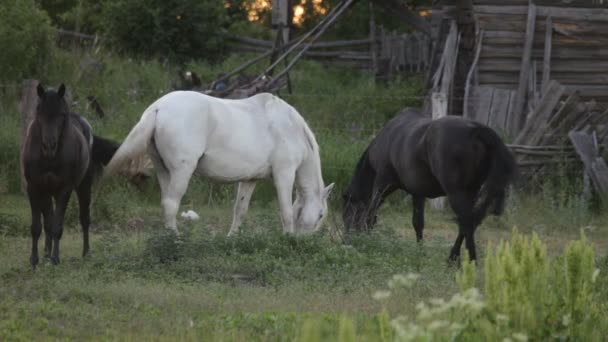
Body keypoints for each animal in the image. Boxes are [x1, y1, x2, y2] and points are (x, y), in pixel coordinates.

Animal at [21, 83, 119, 268]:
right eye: (40, 114)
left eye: (61, 115)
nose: (49, 146)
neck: (49, 158)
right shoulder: (34, 188)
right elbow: (37, 226)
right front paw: (34, 261)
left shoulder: (64, 189)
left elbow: (57, 227)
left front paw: (55, 259)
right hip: (46, 192)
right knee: (48, 220)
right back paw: (46, 253)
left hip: (83, 186)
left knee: (84, 219)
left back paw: (86, 253)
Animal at [102, 91, 334, 235]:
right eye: (321, 214)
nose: (303, 242)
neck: (291, 129)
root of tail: (158, 108)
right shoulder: (284, 174)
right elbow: (286, 212)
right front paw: (287, 238)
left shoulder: (250, 179)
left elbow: (240, 210)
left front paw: (232, 238)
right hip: (181, 171)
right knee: (171, 204)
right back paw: (175, 238)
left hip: (163, 170)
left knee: (166, 202)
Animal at [340, 109, 516, 262]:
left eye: (346, 213)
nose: (346, 240)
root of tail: (477, 130)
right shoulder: (418, 193)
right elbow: (418, 222)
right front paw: (420, 250)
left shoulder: (382, 183)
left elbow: (370, 214)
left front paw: (368, 241)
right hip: (471, 191)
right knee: (469, 223)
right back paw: (453, 258)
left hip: (457, 193)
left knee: (466, 223)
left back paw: (467, 259)